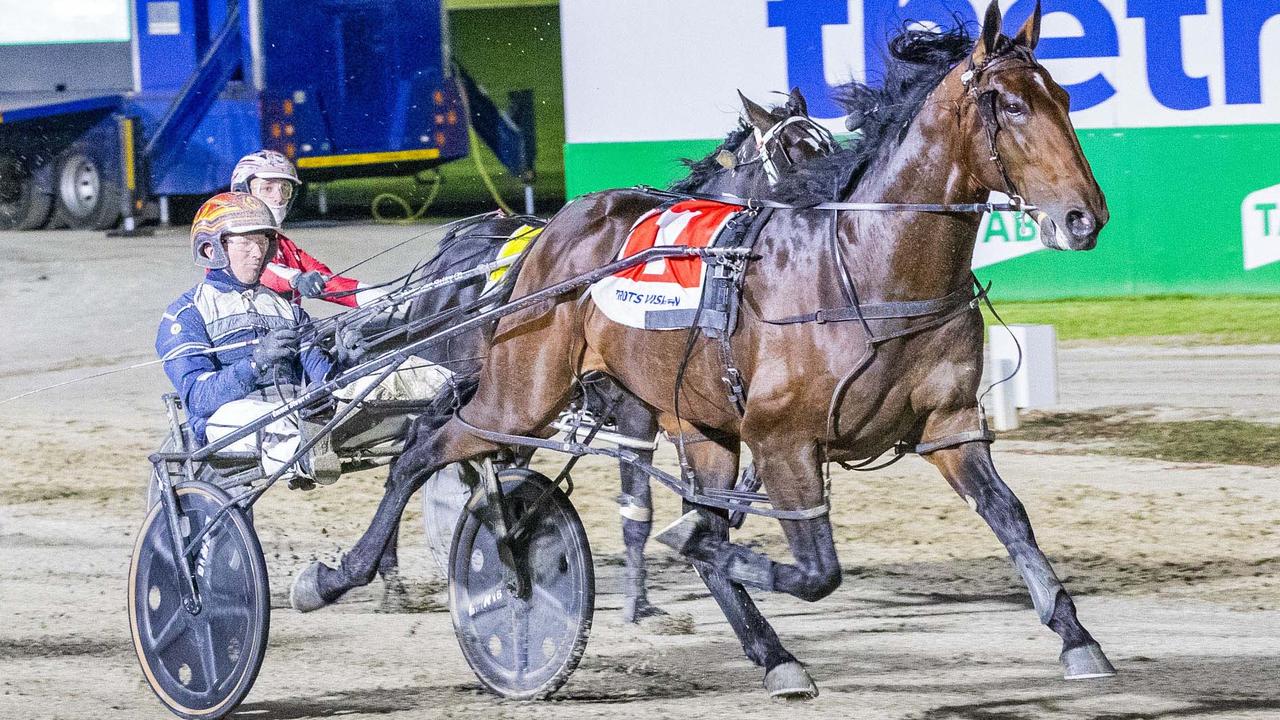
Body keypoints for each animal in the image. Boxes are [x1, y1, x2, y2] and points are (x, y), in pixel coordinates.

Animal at [363, 87, 839, 620]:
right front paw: (639, 600)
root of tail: (449, 250)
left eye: (828, 142)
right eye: (794, 152)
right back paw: (395, 571)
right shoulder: (636, 411)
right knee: (421, 441)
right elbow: (639, 509)